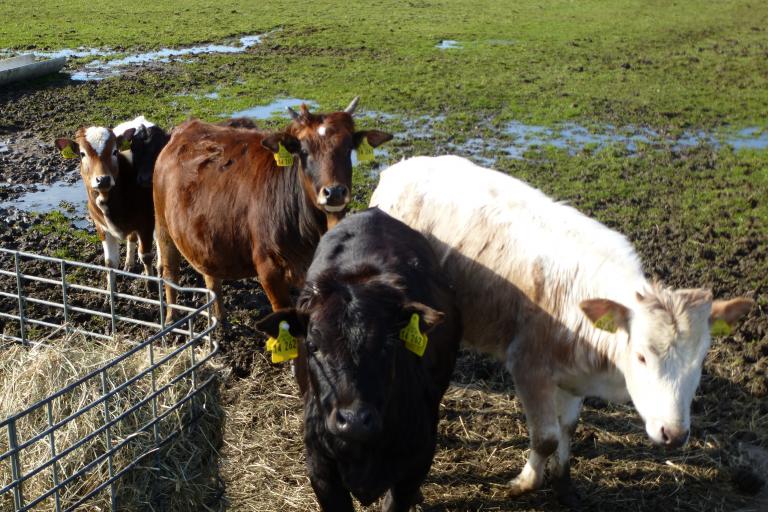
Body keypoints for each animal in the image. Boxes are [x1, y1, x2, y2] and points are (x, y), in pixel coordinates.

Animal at [55, 125, 154, 284]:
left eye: (114, 151)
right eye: (82, 154)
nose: (103, 179)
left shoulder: (146, 223)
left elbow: (146, 256)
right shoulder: (101, 227)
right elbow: (110, 263)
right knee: (131, 238)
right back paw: (129, 263)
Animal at [153, 97, 392, 320]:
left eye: (348, 147)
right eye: (304, 150)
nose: (334, 192)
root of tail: (185, 128)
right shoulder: (269, 271)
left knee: (212, 278)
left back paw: (221, 322)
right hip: (163, 227)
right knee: (170, 273)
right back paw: (172, 317)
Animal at [368, 155, 752, 504]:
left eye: (700, 361)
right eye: (642, 356)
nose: (673, 434)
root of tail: (400, 168)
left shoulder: (574, 375)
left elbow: (568, 427)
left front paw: (563, 480)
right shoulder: (528, 366)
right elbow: (546, 437)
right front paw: (526, 483)